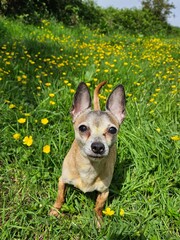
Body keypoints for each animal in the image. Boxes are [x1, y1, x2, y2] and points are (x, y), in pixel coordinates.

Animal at [49, 81, 125, 223]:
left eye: (112, 130)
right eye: (83, 128)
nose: (98, 146)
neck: (89, 167)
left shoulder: (104, 191)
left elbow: (98, 206)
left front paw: (98, 221)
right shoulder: (62, 180)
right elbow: (60, 197)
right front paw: (55, 211)